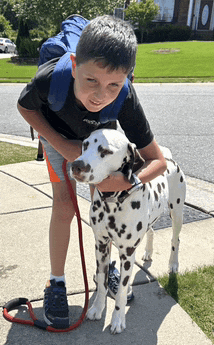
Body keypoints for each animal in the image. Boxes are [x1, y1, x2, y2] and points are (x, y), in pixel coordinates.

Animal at [70, 127, 186, 332]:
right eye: (85, 144)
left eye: (106, 151)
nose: (77, 165)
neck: (112, 202)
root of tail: (169, 159)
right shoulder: (101, 246)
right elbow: (102, 282)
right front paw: (97, 309)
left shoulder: (127, 253)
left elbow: (122, 291)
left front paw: (117, 320)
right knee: (151, 231)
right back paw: (148, 252)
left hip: (177, 213)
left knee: (175, 240)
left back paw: (173, 264)